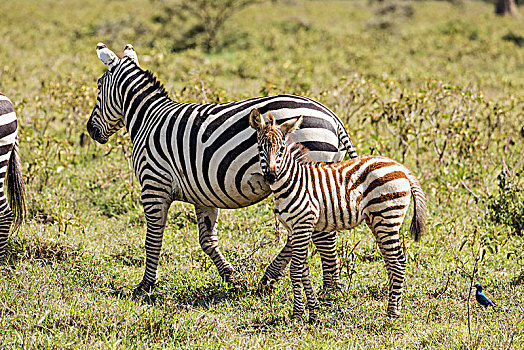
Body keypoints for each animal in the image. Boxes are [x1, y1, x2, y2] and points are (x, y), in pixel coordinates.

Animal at [88, 43, 358, 292]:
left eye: (99, 87)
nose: (90, 130)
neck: (148, 118)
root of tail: (333, 117)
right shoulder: (202, 193)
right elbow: (207, 240)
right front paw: (232, 278)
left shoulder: (153, 183)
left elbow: (153, 238)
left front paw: (146, 285)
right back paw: (272, 278)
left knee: (320, 234)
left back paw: (329, 289)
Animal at [250, 108, 426, 322]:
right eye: (260, 148)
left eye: (281, 148)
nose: (271, 176)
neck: (292, 181)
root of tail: (401, 168)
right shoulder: (295, 228)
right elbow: (304, 270)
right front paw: (313, 311)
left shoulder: (303, 224)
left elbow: (295, 269)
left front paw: (298, 314)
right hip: (378, 220)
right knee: (391, 261)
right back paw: (396, 307)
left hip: (387, 216)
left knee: (397, 261)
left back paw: (391, 313)